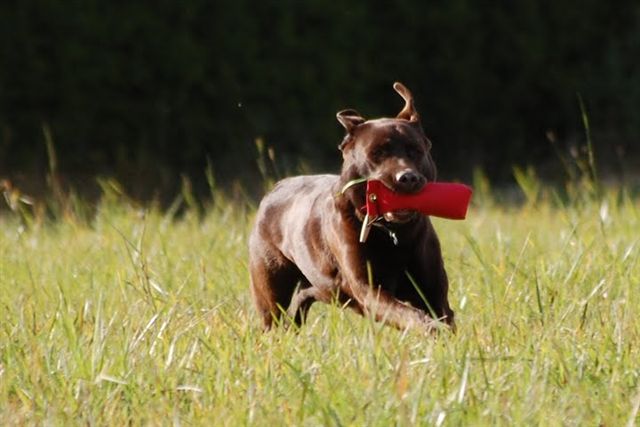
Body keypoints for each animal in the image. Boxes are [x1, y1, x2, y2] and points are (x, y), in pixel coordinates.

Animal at [250, 82, 456, 332]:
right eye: (376, 153)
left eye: (415, 151)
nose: (407, 178)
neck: (393, 233)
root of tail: (275, 188)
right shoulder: (369, 290)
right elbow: (407, 314)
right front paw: (431, 329)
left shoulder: (432, 290)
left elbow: (440, 313)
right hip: (270, 284)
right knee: (273, 316)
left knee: (302, 300)